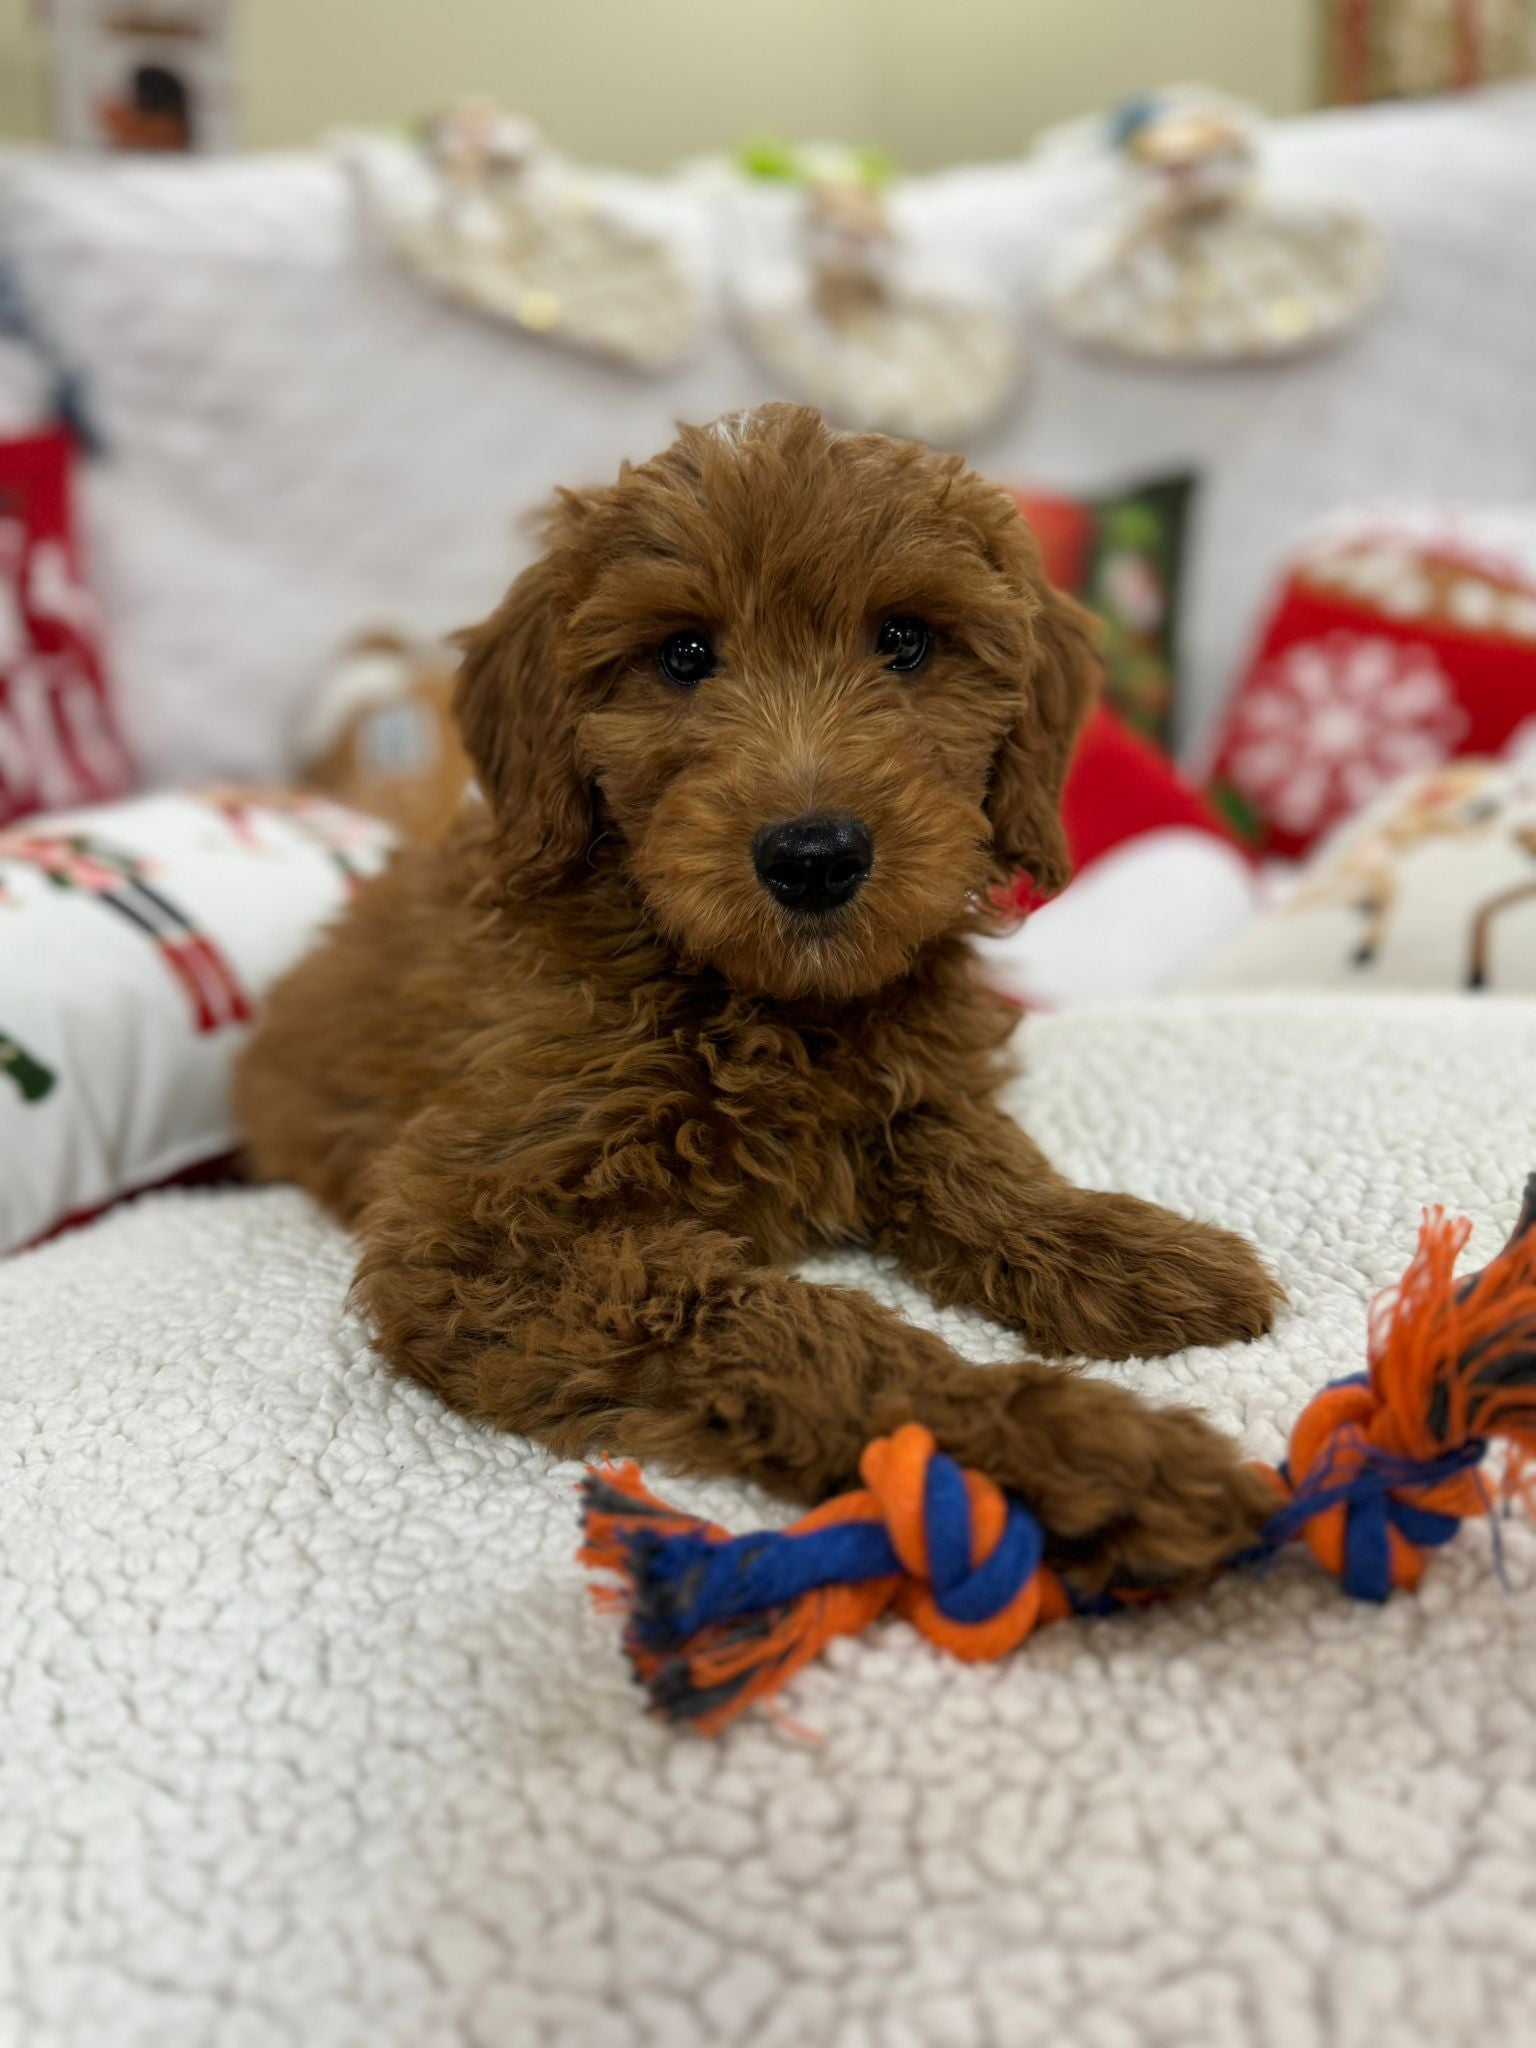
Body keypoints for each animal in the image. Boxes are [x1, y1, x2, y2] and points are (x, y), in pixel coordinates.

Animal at [240, 399, 1277, 1581]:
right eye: (684, 653)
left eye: (905, 639)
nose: (815, 856)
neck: (762, 1003)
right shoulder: (474, 1234)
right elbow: (803, 1333)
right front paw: (1079, 1446)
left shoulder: (915, 1081)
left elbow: (980, 1162)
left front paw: (1120, 1248)